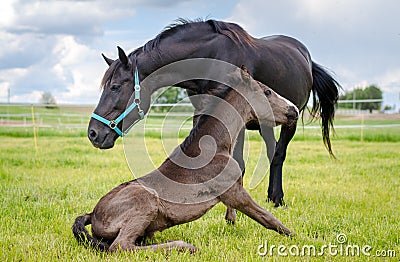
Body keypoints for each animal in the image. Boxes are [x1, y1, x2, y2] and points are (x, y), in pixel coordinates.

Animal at [86, 20, 338, 213]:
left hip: (289, 120)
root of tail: (306, 58)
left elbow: (239, 164)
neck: (210, 58)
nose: (94, 133)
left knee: (279, 155)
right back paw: (270, 196)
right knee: (272, 151)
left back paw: (277, 199)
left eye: (115, 87)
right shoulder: (203, 111)